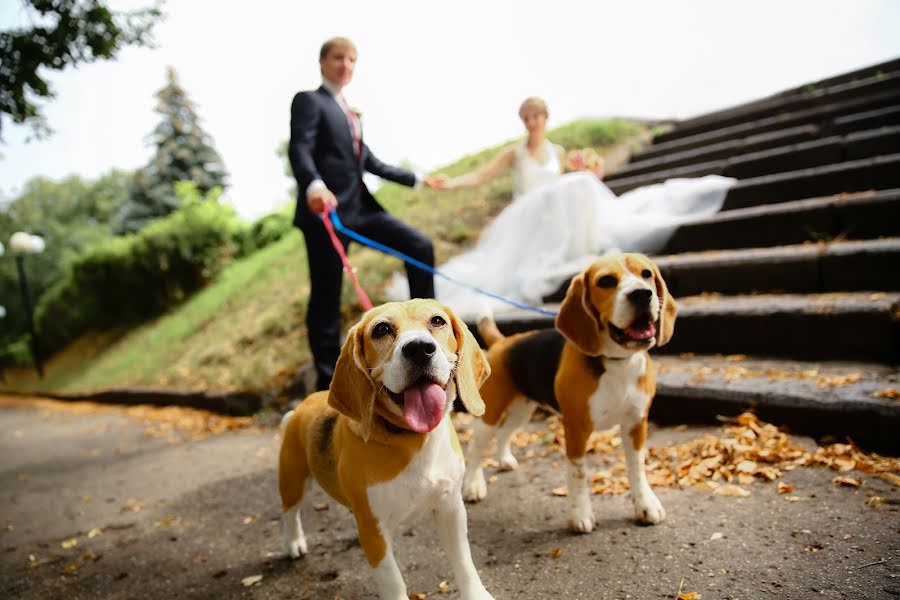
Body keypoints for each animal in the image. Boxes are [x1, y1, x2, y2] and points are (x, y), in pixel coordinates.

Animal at [280, 300, 496, 600]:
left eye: (437, 321)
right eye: (381, 329)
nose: (419, 348)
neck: (413, 440)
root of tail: (301, 407)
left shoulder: (450, 507)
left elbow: (464, 561)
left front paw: (475, 594)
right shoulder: (375, 533)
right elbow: (393, 581)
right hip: (293, 481)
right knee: (289, 514)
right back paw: (294, 543)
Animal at [464, 252, 676, 528]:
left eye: (647, 274)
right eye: (606, 281)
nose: (642, 294)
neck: (617, 362)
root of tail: (503, 341)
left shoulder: (636, 424)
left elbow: (637, 468)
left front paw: (646, 505)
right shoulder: (577, 427)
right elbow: (578, 473)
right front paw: (581, 515)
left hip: (522, 410)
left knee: (503, 433)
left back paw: (504, 460)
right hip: (489, 414)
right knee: (475, 448)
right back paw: (472, 485)